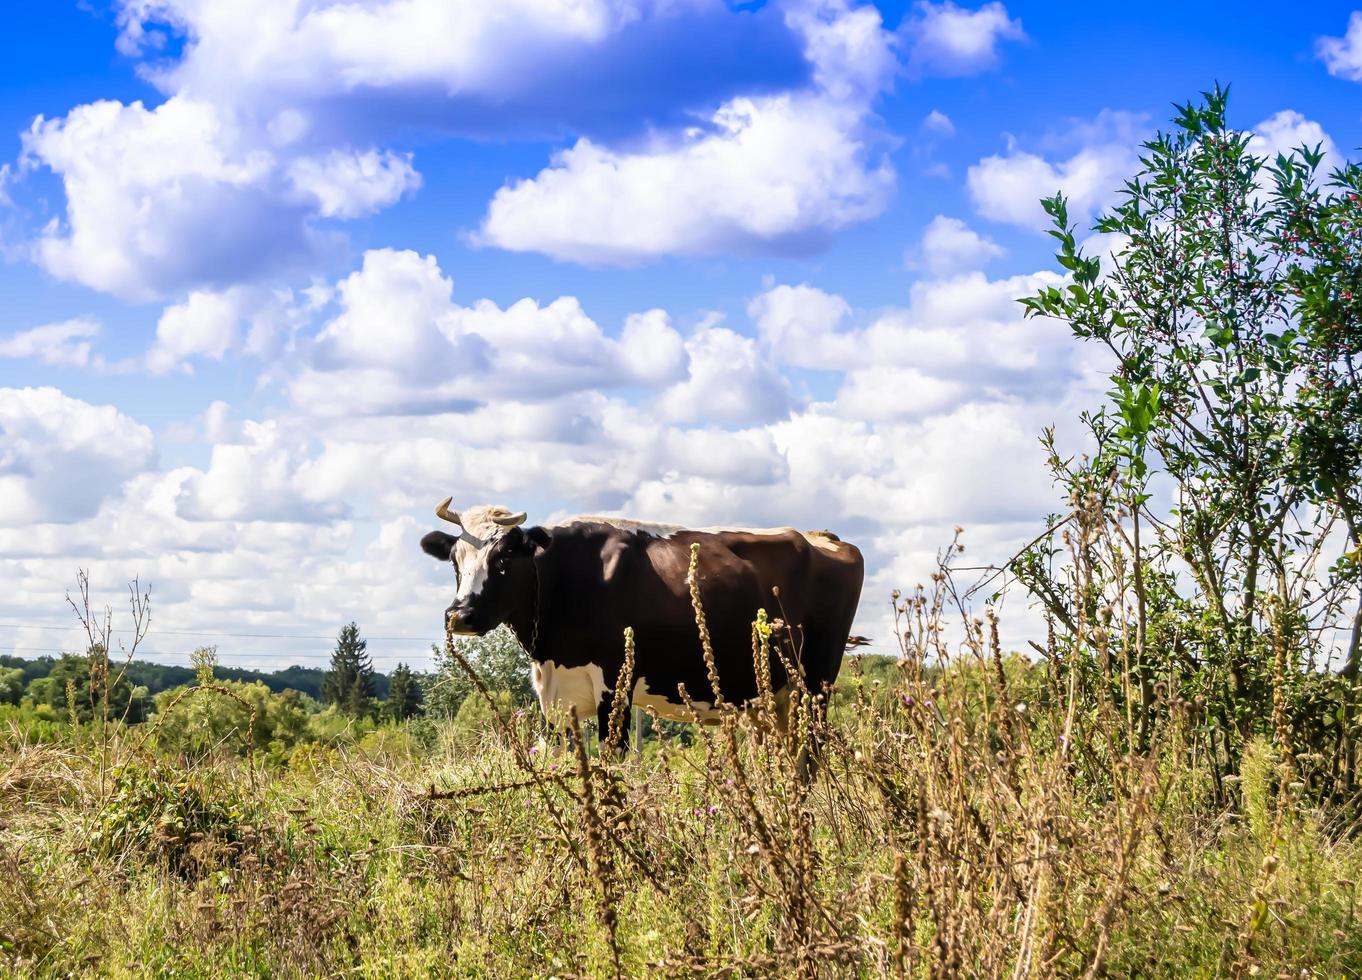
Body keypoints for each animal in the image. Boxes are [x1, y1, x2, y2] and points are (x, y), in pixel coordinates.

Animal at [416, 500, 860, 745]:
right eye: (455, 560)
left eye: (504, 557)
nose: (459, 615)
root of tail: (821, 537)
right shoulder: (554, 695)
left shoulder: (615, 685)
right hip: (770, 699)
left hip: (816, 682)